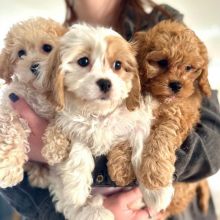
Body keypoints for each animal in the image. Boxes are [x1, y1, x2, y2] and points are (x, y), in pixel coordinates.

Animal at [0, 18, 68, 188]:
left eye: (47, 48)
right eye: (21, 53)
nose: (34, 66)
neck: (39, 92)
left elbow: (60, 122)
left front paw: (55, 149)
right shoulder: (10, 106)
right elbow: (12, 130)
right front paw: (8, 168)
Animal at [41, 24, 155, 220]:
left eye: (117, 65)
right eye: (83, 61)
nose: (105, 83)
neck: (100, 115)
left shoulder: (138, 121)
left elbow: (142, 148)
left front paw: (157, 192)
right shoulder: (72, 124)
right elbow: (80, 147)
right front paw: (76, 189)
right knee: (74, 207)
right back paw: (95, 211)